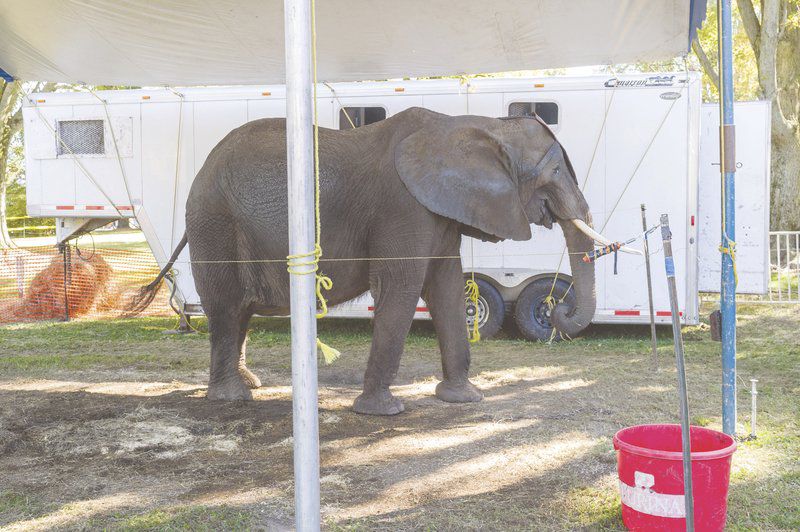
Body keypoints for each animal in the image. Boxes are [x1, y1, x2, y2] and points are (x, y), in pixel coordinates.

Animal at [133, 107, 619, 415]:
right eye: (554, 173)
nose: (556, 309)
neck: (477, 125)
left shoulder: (439, 211)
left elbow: (446, 287)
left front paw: (463, 399)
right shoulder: (401, 207)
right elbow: (402, 289)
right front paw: (383, 411)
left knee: (240, 313)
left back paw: (249, 384)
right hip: (215, 222)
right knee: (227, 307)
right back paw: (232, 399)